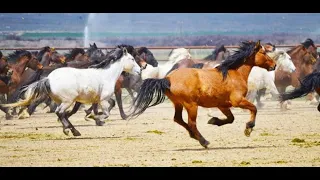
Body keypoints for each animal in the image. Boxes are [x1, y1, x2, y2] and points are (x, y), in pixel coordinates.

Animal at [0, 46, 141, 136]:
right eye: (132, 59)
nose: (140, 70)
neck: (106, 75)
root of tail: (49, 78)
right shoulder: (103, 99)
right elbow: (106, 112)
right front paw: (94, 117)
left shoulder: (96, 99)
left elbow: (107, 106)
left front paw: (94, 117)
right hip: (67, 100)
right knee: (59, 112)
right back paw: (70, 130)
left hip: (61, 100)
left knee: (59, 113)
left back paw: (72, 130)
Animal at [129, 40, 276, 148]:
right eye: (264, 52)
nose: (274, 65)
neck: (234, 73)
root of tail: (167, 79)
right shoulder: (238, 101)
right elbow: (254, 108)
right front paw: (248, 128)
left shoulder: (223, 105)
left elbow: (231, 119)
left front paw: (214, 120)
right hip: (191, 105)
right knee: (191, 123)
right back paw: (203, 141)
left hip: (178, 104)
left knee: (178, 119)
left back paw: (194, 135)